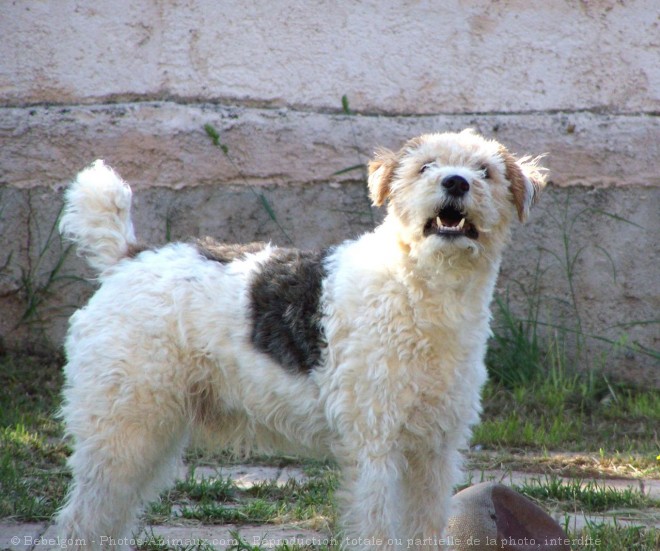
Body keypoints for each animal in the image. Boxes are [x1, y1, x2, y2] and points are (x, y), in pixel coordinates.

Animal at [56, 129, 544, 548]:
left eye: (486, 170)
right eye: (425, 165)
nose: (456, 182)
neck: (420, 290)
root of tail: (127, 257)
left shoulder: (434, 449)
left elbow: (424, 529)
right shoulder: (376, 444)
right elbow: (377, 528)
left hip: (149, 432)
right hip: (122, 428)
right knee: (79, 521)